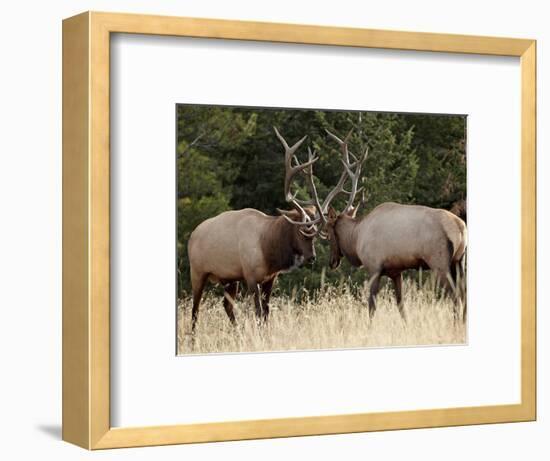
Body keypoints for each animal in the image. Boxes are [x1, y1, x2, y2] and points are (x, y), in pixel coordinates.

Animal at [188, 127, 324, 328]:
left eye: (314, 235)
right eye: (302, 231)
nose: (312, 257)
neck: (269, 248)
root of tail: (191, 236)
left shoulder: (270, 278)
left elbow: (266, 313)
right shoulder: (251, 276)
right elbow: (259, 313)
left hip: (229, 278)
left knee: (226, 305)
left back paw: (236, 330)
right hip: (198, 272)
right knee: (195, 309)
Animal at [308, 129, 468, 322]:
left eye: (328, 232)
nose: (332, 262)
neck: (356, 238)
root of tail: (460, 228)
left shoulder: (374, 267)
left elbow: (371, 306)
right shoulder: (396, 271)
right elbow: (401, 305)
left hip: (439, 263)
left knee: (455, 296)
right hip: (459, 261)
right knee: (464, 295)